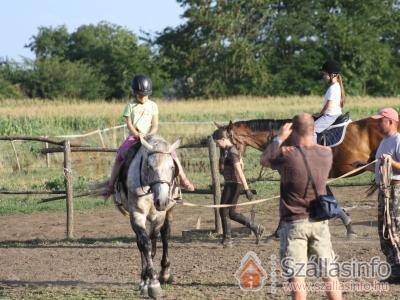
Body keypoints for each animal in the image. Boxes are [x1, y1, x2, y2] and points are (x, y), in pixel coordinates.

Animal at [115, 136, 180, 298]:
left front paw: (154, 280)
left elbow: (154, 245)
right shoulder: (137, 214)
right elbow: (145, 245)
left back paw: (165, 273)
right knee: (141, 243)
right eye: (149, 166)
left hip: (169, 211)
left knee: (165, 236)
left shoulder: (159, 216)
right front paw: (150, 283)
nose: (162, 201)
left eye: (172, 167)